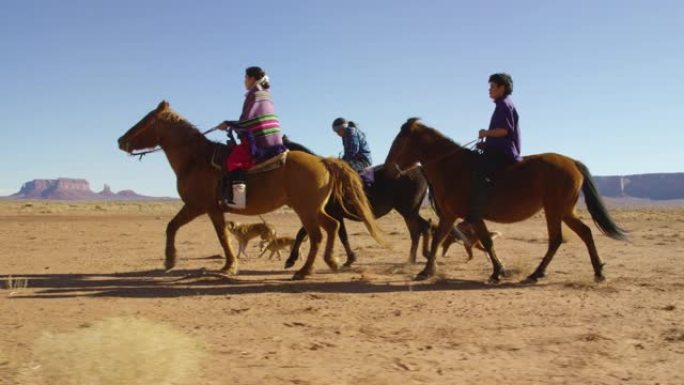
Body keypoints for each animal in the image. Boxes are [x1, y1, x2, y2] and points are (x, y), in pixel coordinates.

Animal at [119, 100, 384, 278]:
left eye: (145, 121)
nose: (120, 140)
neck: (196, 159)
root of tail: (322, 161)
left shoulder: (200, 206)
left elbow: (206, 233)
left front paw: (223, 266)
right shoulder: (207, 208)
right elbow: (183, 228)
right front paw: (176, 261)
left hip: (305, 209)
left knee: (318, 234)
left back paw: (304, 270)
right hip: (314, 208)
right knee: (332, 226)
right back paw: (331, 261)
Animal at [384, 118, 624, 284]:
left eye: (399, 142)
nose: (387, 170)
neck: (453, 168)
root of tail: (572, 162)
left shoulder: (472, 216)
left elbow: (487, 242)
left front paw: (498, 272)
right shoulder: (450, 216)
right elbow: (438, 239)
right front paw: (426, 271)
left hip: (554, 210)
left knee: (557, 239)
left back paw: (537, 273)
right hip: (564, 210)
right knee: (584, 232)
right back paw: (596, 272)